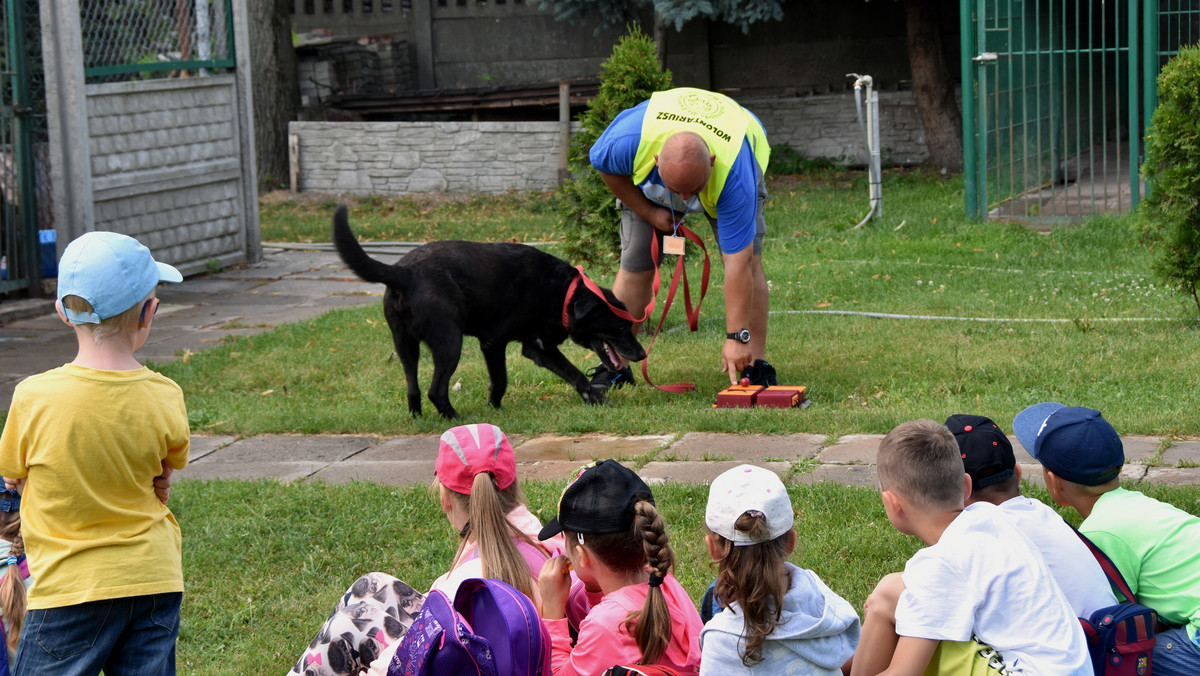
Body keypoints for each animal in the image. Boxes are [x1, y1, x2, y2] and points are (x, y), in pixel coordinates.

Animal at [328, 204, 648, 420]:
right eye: (620, 328)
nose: (642, 354)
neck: (563, 292)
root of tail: (403, 272)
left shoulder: (529, 347)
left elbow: (539, 376)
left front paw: (496, 409)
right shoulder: (504, 343)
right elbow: (536, 376)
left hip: (406, 345)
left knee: (413, 388)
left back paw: (417, 417)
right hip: (450, 343)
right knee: (436, 390)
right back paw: (455, 419)